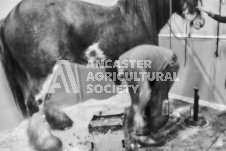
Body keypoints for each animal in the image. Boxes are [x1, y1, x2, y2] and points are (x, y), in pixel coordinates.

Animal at [0, 0, 205, 150]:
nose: (201, 22)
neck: (138, 19)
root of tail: (8, 18)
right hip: (43, 71)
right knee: (34, 104)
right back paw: (47, 142)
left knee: (45, 99)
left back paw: (61, 123)